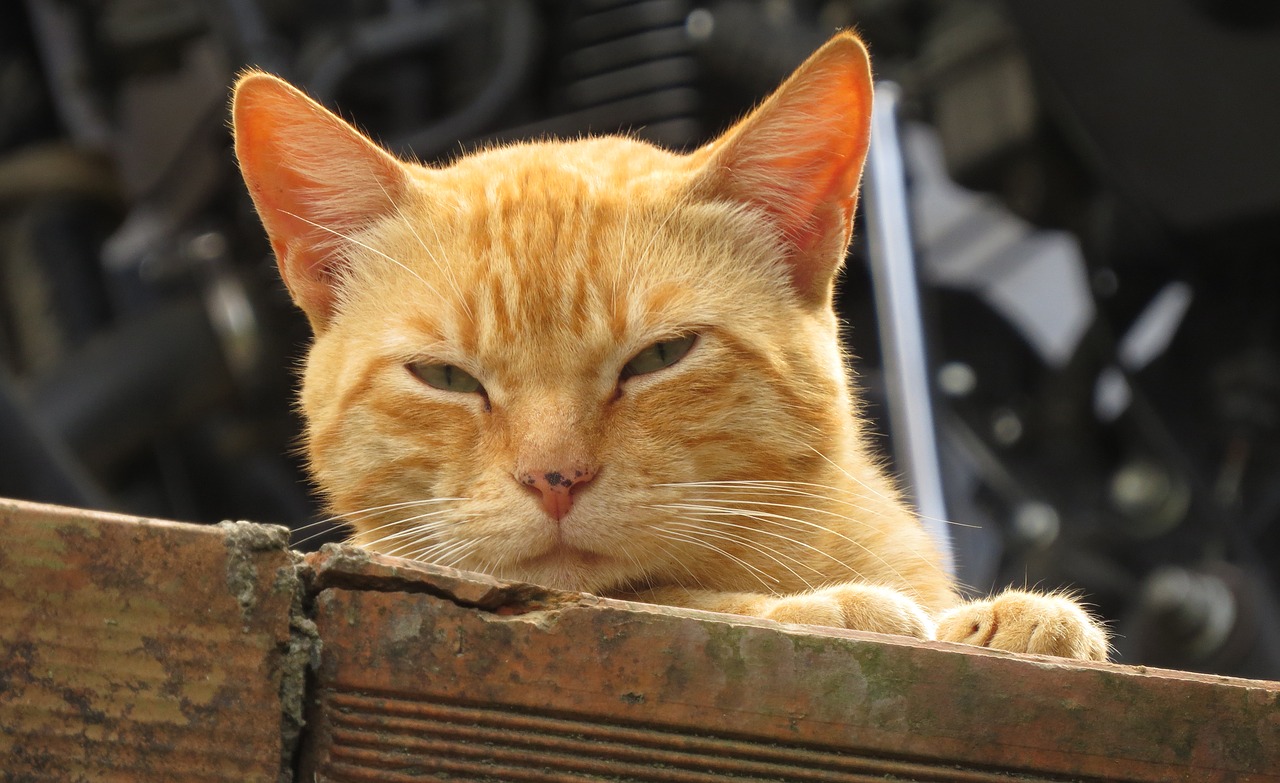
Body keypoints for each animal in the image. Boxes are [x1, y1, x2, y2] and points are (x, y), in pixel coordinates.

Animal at [232, 32, 1111, 660]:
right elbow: (683, 598)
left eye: (660, 357)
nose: (554, 479)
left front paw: (1002, 618)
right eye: (444, 375)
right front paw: (836, 604)